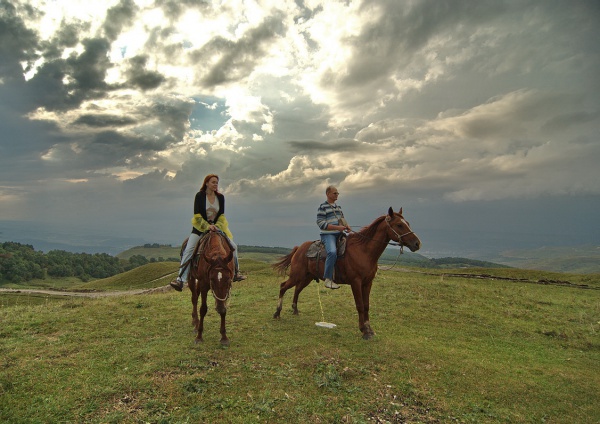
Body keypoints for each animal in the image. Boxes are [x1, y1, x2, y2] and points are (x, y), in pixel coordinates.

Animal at [274, 207, 422, 340]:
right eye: (399, 225)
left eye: (407, 223)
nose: (417, 243)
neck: (363, 251)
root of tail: (299, 248)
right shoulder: (356, 282)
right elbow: (360, 306)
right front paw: (364, 331)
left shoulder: (368, 283)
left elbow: (366, 305)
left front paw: (369, 329)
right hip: (296, 275)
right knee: (283, 287)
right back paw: (277, 313)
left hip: (307, 277)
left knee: (297, 289)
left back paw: (295, 310)